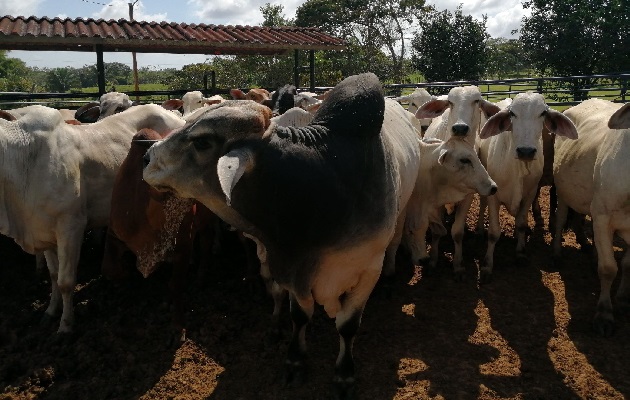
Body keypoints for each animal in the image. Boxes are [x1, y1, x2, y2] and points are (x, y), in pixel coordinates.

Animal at [141, 73, 422, 398]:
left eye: (202, 141)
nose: (146, 157)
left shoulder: (366, 270)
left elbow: (347, 326)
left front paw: (344, 374)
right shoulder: (292, 268)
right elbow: (299, 316)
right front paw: (295, 361)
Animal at [418, 84, 502, 278]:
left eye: (477, 100)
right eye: (450, 102)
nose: (460, 128)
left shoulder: (468, 195)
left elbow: (457, 232)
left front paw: (458, 264)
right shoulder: (434, 200)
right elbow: (437, 231)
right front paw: (433, 260)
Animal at [552, 98, 630, 336]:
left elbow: (627, 264)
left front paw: (622, 300)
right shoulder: (604, 217)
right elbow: (608, 269)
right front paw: (604, 314)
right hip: (563, 192)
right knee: (560, 221)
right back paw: (557, 254)